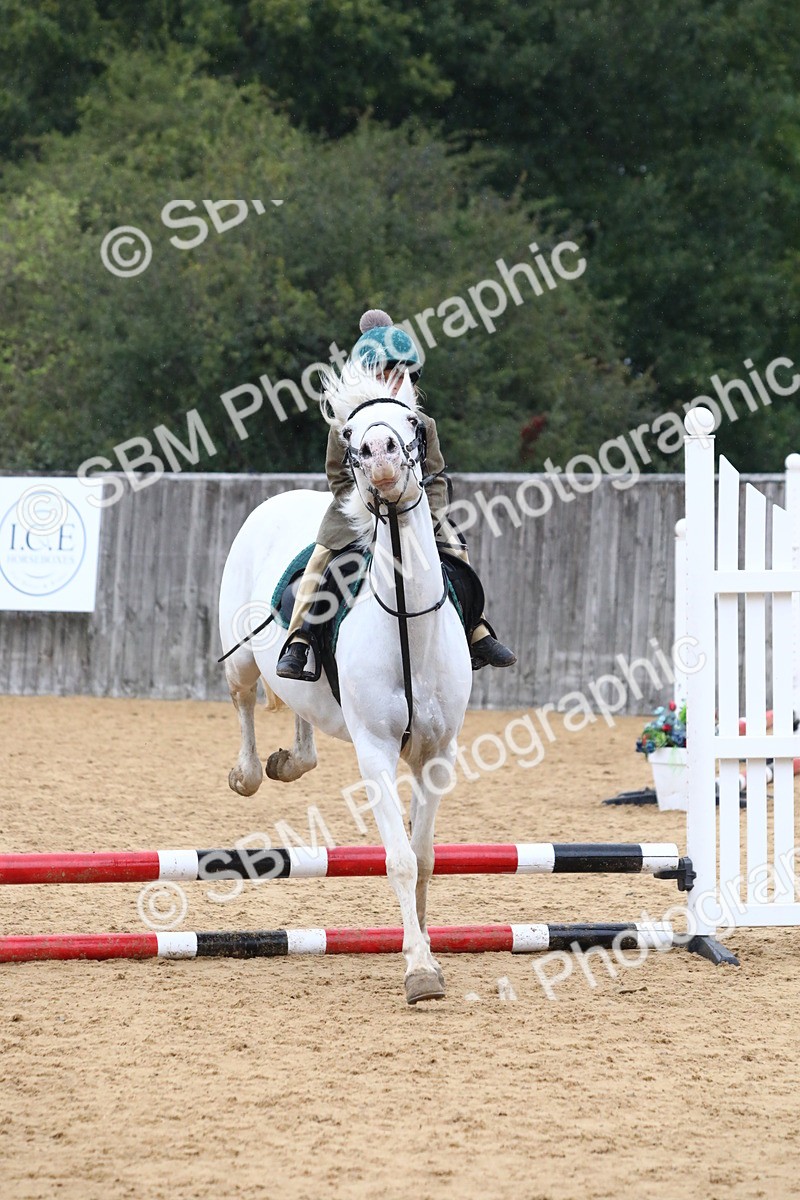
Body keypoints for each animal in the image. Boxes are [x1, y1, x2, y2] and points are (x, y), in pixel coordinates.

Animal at [218, 363, 473, 1004]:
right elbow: (400, 858)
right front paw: (418, 969)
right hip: (241, 659)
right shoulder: (376, 752)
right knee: (245, 700)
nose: (380, 456)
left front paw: (425, 945)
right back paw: (249, 772)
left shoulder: (438, 753)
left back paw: (291, 759)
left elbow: (425, 856)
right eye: (352, 431)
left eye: (410, 422)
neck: (408, 624)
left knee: (299, 713)